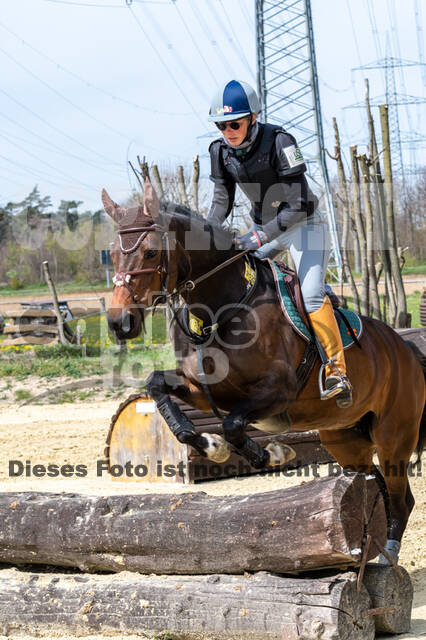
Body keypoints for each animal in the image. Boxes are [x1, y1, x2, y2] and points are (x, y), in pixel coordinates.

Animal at [104, 178, 426, 564]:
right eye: (112, 253)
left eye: (151, 252)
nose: (120, 323)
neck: (221, 307)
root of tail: (406, 349)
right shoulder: (205, 390)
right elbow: (158, 387)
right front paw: (211, 445)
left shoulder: (277, 392)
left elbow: (233, 424)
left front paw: (268, 453)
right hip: (346, 438)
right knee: (373, 482)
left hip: (394, 436)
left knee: (402, 497)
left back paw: (387, 554)